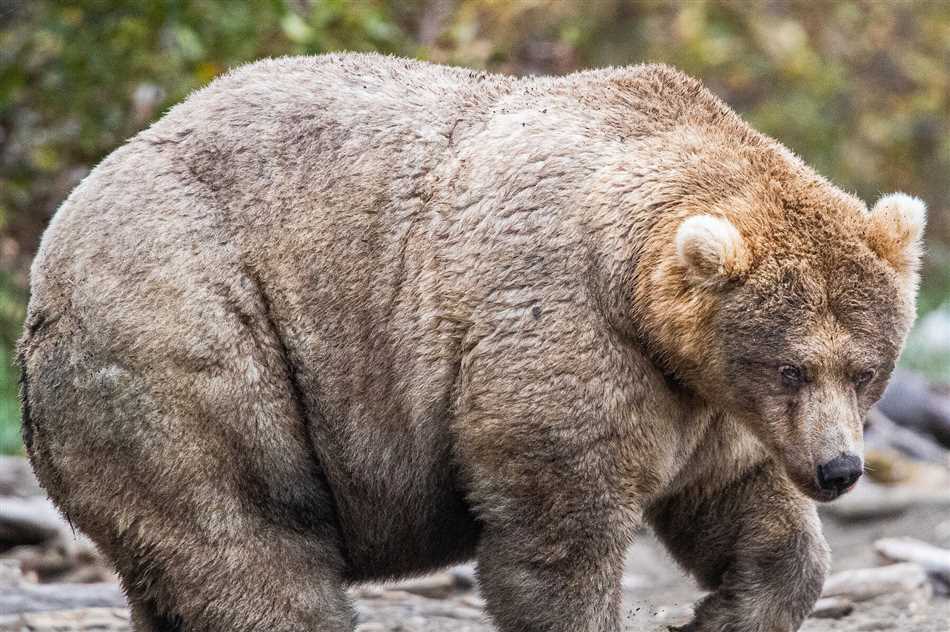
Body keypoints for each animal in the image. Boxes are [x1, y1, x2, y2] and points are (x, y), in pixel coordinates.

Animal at [18, 54, 928, 632]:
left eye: (865, 370)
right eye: (791, 365)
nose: (840, 469)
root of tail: (53, 246)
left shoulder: (705, 402)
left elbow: (745, 511)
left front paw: (721, 615)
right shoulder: (565, 331)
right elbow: (559, 535)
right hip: (191, 336)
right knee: (247, 541)